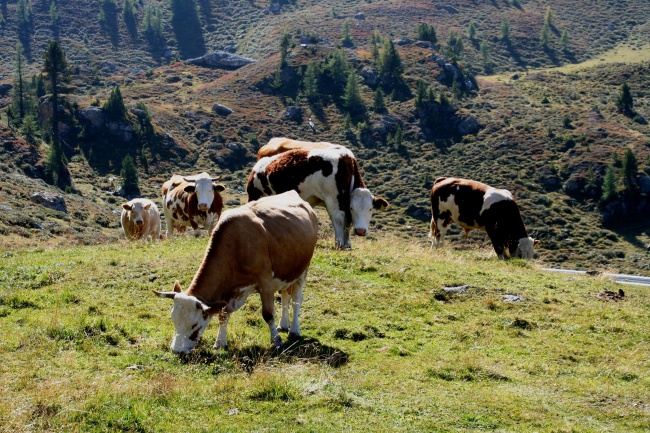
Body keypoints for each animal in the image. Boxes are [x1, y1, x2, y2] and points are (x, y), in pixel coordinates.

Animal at [156, 191, 320, 352]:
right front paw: (220, 342)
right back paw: (284, 324)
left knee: (296, 299)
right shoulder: (229, 292)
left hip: (303, 269)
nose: (176, 350)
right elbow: (223, 315)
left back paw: (294, 330)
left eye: (194, 325)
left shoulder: (266, 283)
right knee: (285, 295)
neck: (236, 244)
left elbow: (268, 315)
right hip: (285, 272)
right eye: (173, 319)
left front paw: (276, 341)